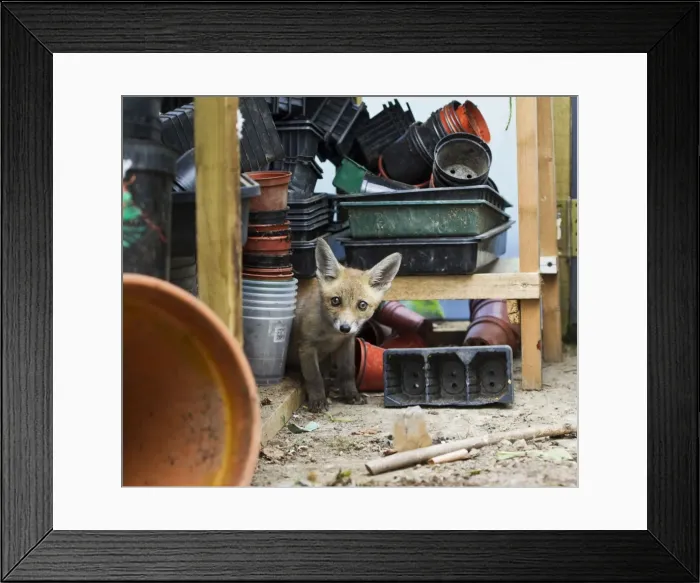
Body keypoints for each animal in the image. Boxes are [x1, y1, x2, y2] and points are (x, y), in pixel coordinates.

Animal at [287, 238, 402, 412]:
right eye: (335, 301)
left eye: (362, 305)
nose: (345, 328)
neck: (331, 336)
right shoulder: (306, 347)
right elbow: (314, 377)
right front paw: (318, 400)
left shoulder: (347, 342)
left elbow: (348, 372)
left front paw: (351, 394)